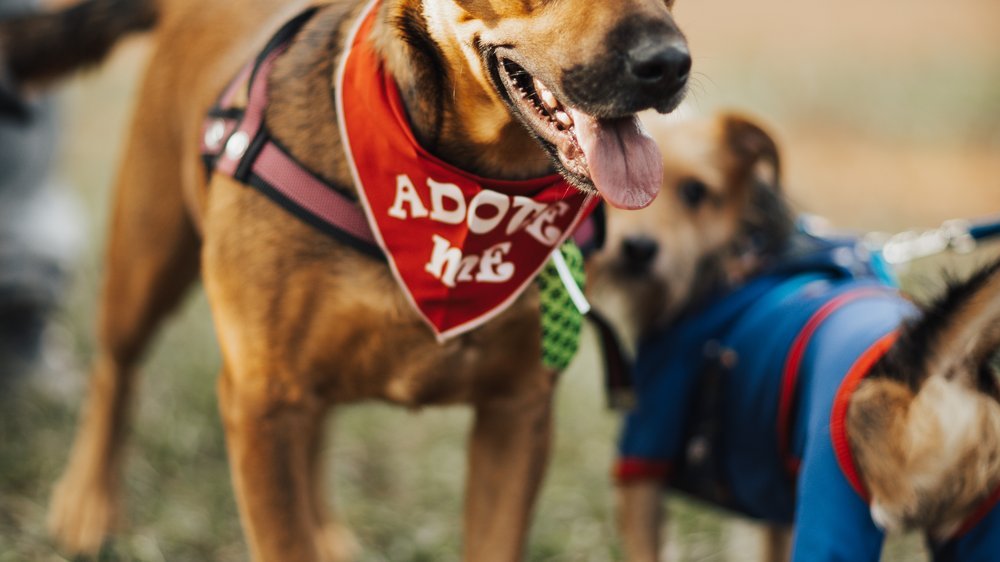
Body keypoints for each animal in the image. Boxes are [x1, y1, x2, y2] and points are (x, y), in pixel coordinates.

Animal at [3, 1, 692, 560]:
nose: (668, 66)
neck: (464, 191)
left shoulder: (516, 412)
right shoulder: (261, 399)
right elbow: (284, 541)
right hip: (146, 255)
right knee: (115, 373)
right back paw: (90, 505)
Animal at [584, 111, 1000, 556]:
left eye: (695, 192)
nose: (638, 250)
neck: (732, 257)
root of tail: (930, 360)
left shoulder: (646, 444)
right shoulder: (778, 509)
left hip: (832, 501)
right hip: (978, 530)